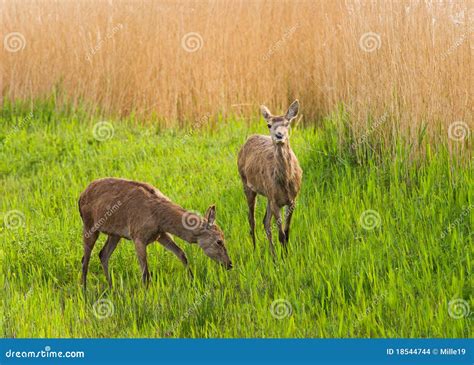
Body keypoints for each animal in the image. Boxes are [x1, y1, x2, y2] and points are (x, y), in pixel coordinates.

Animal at [78, 176, 232, 288]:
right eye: (219, 241)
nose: (230, 264)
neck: (158, 217)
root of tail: (80, 197)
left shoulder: (160, 235)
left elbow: (182, 254)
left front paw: (192, 280)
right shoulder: (138, 236)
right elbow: (146, 273)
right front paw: (146, 296)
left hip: (115, 234)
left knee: (103, 254)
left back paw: (111, 287)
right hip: (89, 226)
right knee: (85, 259)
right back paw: (83, 289)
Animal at [237, 100, 304, 256]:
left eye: (287, 123)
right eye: (269, 125)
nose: (279, 135)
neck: (286, 182)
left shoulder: (292, 200)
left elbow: (287, 232)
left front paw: (286, 255)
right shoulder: (275, 201)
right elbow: (281, 235)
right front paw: (284, 258)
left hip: (267, 195)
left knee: (265, 222)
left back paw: (272, 256)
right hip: (246, 184)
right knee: (252, 219)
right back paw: (255, 249)